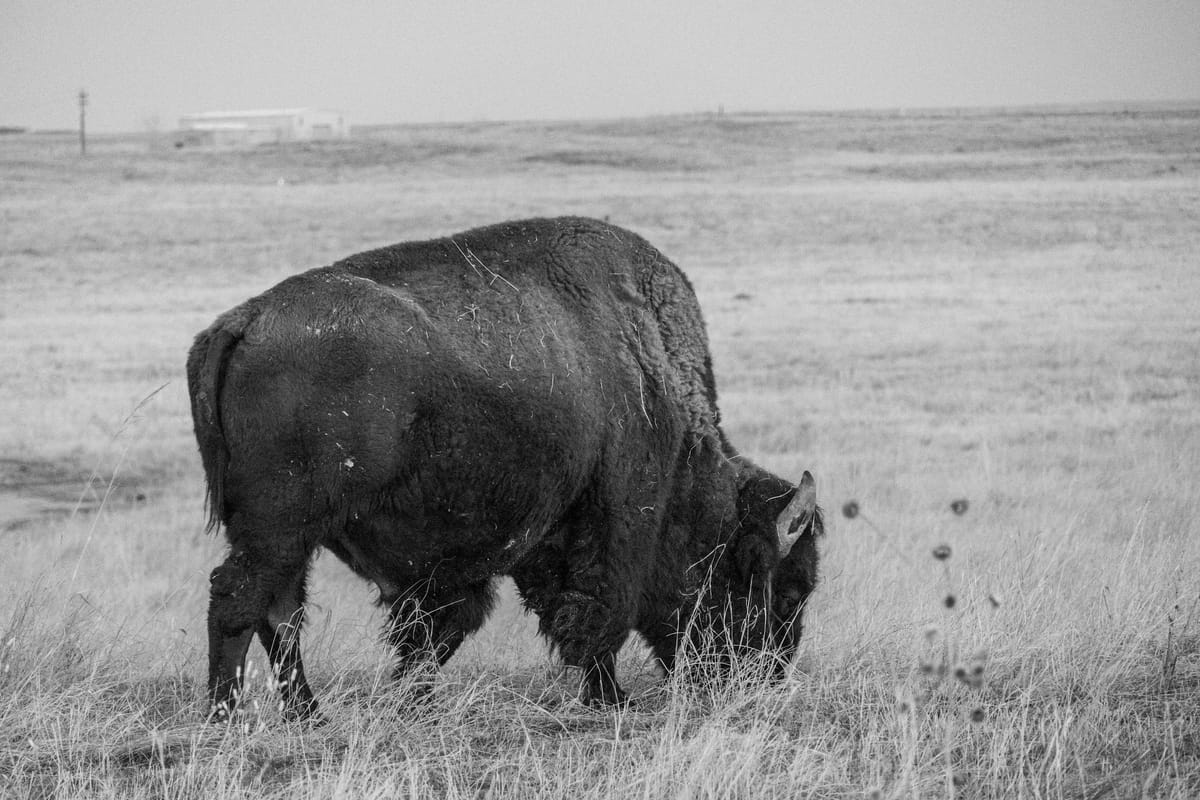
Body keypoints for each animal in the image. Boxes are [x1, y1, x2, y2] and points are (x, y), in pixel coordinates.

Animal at [187, 216, 822, 721]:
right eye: (788, 592)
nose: (766, 679)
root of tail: (244, 321)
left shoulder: (520, 544)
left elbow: (445, 631)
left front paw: (416, 701)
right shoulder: (616, 520)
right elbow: (596, 617)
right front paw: (612, 700)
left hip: (285, 536)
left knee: (280, 612)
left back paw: (307, 713)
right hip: (281, 525)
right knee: (240, 599)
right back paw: (226, 715)